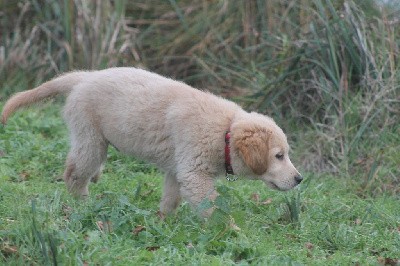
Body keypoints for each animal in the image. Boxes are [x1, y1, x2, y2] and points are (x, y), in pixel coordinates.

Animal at [0, 67, 302, 216]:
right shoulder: (194, 172)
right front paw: (229, 230)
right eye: (279, 156)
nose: (300, 179)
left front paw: (166, 221)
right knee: (74, 171)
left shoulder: (177, 170)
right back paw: (83, 203)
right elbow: (212, 207)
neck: (225, 132)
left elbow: (171, 199)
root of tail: (85, 77)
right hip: (90, 136)